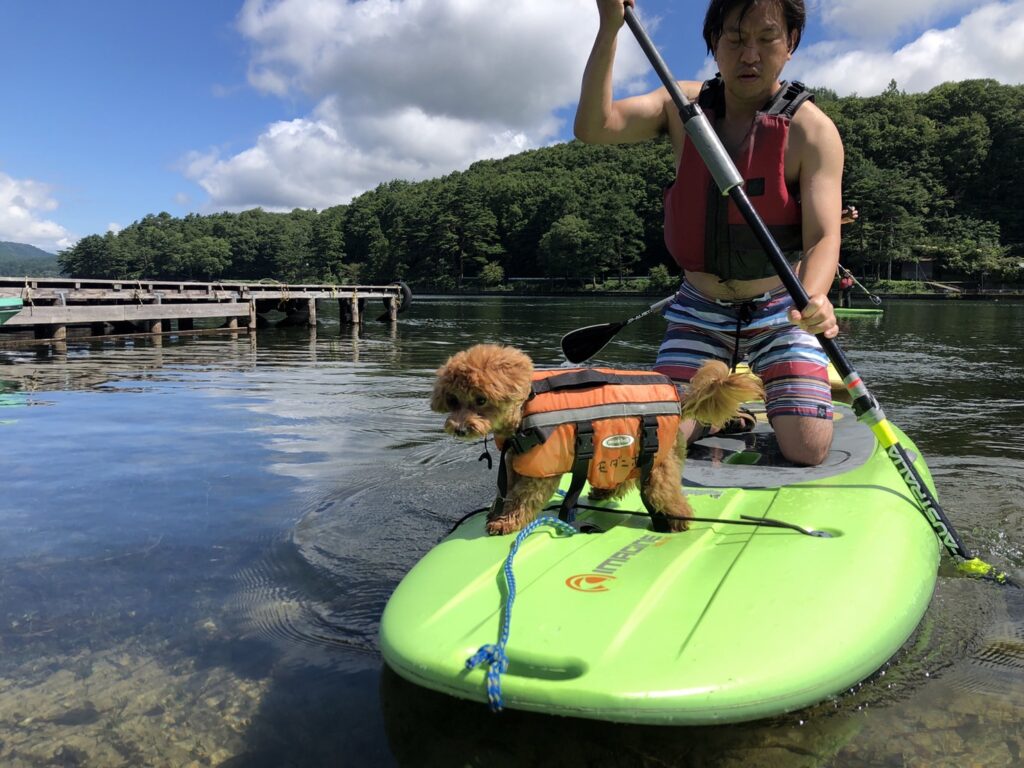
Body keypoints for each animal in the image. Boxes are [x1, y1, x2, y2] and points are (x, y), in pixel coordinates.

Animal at [430, 346, 761, 536]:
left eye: (481, 399)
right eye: (453, 400)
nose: (459, 429)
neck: (523, 413)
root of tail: (681, 399)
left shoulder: (540, 473)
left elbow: (522, 500)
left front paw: (506, 523)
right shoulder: (512, 465)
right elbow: (505, 493)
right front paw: (495, 514)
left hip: (658, 463)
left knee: (664, 493)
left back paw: (677, 522)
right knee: (624, 480)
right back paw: (604, 492)